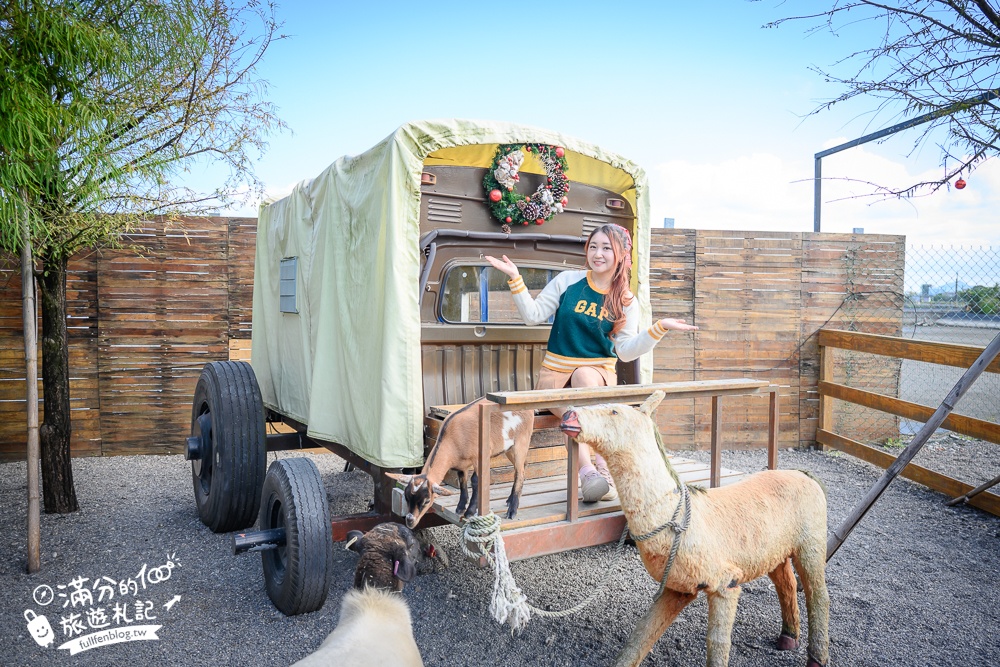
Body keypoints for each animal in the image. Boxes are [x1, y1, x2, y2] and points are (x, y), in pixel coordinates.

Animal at [386, 400, 536, 528]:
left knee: (520, 472)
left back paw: (512, 510)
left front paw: (469, 512)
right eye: (406, 497)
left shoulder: (478, 457)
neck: (453, 436)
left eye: (427, 501)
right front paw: (460, 507)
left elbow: (475, 481)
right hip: (510, 449)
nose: (410, 521)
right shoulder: (462, 464)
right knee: (522, 467)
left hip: (521, 442)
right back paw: (510, 500)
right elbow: (462, 481)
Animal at [564, 392, 828, 667]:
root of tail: (804, 474)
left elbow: (717, 642)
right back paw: (788, 638)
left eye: (614, 411)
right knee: (786, 583)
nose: (568, 415)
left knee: (817, 594)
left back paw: (816, 658)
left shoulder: (726, 582)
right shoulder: (678, 586)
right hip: (773, 551)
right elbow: (643, 633)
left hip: (811, 541)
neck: (677, 517)